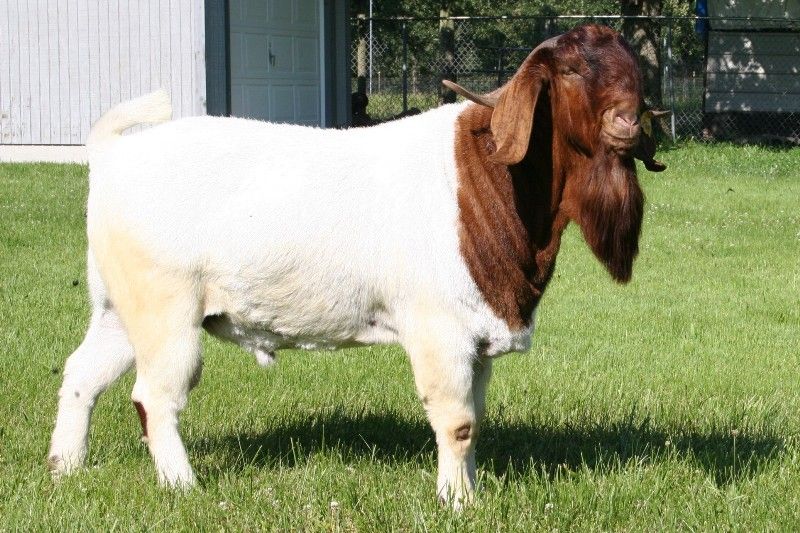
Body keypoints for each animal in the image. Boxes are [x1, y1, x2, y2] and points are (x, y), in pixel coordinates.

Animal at [48, 24, 665, 507]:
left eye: (634, 72)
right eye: (571, 70)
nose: (627, 124)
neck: (486, 177)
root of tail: (112, 155)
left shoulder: (477, 340)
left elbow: (475, 421)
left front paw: (469, 492)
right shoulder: (440, 331)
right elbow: (457, 423)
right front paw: (456, 503)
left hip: (119, 308)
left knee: (82, 375)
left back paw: (66, 467)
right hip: (165, 306)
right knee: (155, 397)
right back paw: (183, 486)